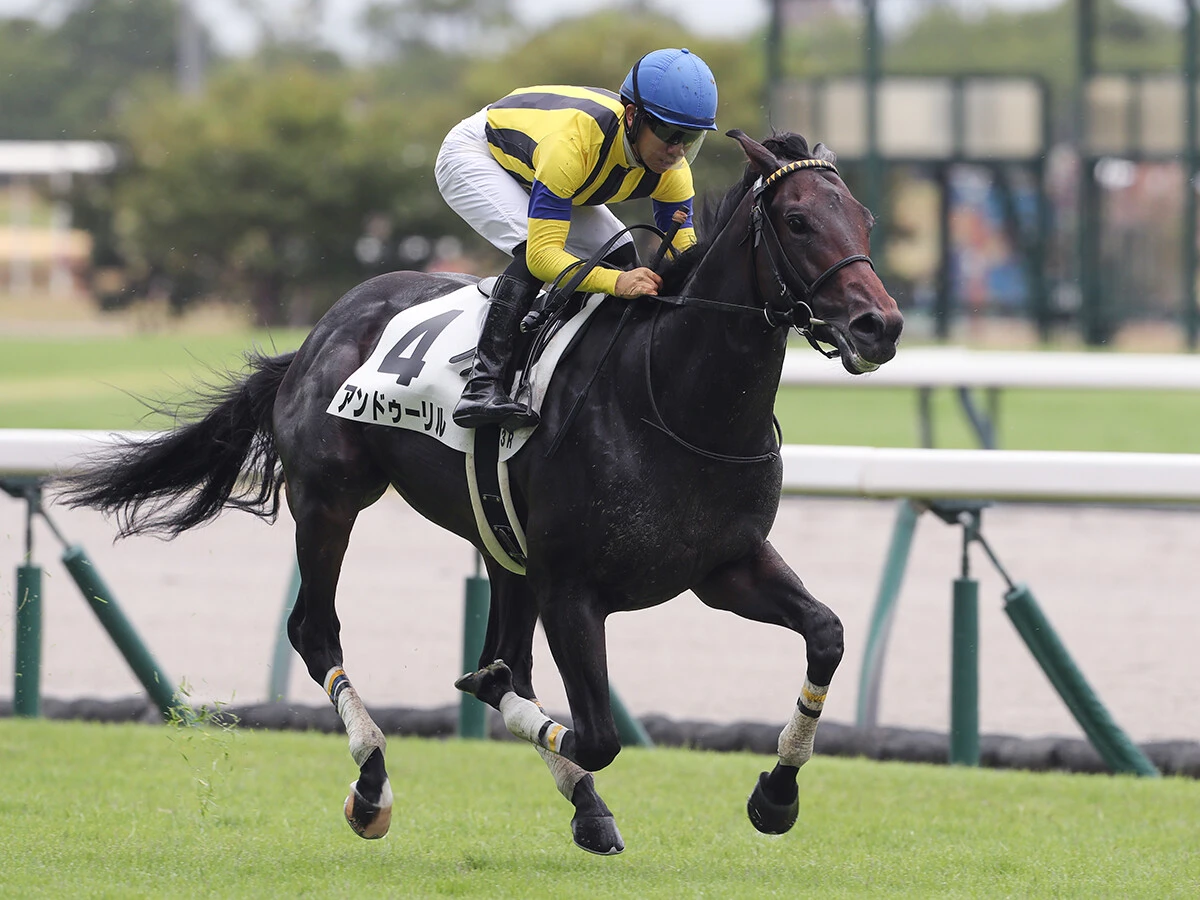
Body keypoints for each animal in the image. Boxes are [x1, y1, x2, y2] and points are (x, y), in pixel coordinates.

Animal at [56, 129, 902, 855]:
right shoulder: (571, 588)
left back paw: (583, 806)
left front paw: (775, 797)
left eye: (862, 217)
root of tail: (319, 333)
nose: (880, 325)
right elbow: (591, 730)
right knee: (316, 630)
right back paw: (372, 786)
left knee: (505, 655)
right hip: (331, 500)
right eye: (797, 220)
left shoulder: (725, 565)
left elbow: (826, 635)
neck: (670, 396)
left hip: (496, 538)